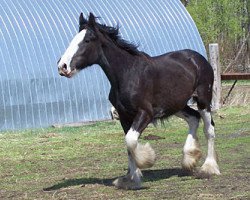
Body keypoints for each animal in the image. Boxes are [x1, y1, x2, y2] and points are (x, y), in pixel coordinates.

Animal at [57, 12, 220, 189]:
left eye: (87, 40)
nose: (62, 66)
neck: (129, 73)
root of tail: (198, 58)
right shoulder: (124, 116)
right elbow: (129, 144)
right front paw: (131, 178)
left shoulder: (145, 113)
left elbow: (130, 140)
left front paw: (146, 160)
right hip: (177, 105)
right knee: (193, 118)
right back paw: (189, 159)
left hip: (203, 99)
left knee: (209, 129)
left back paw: (208, 168)